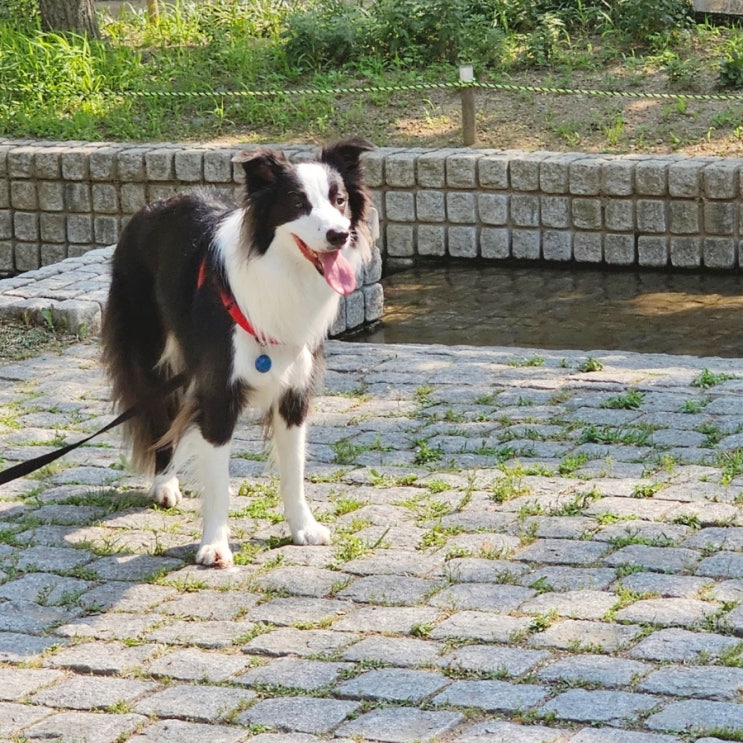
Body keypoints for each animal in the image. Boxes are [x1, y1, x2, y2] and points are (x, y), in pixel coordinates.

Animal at [101, 141, 374, 568]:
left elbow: (293, 470)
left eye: (340, 200)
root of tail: (148, 207)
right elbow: (217, 480)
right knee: (159, 418)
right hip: (148, 353)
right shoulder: (218, 392)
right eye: (298, 202)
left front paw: (303, 528)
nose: (339, 235)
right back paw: (164, 484)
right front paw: (214, 546)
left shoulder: (294, 394)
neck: (281, 275)